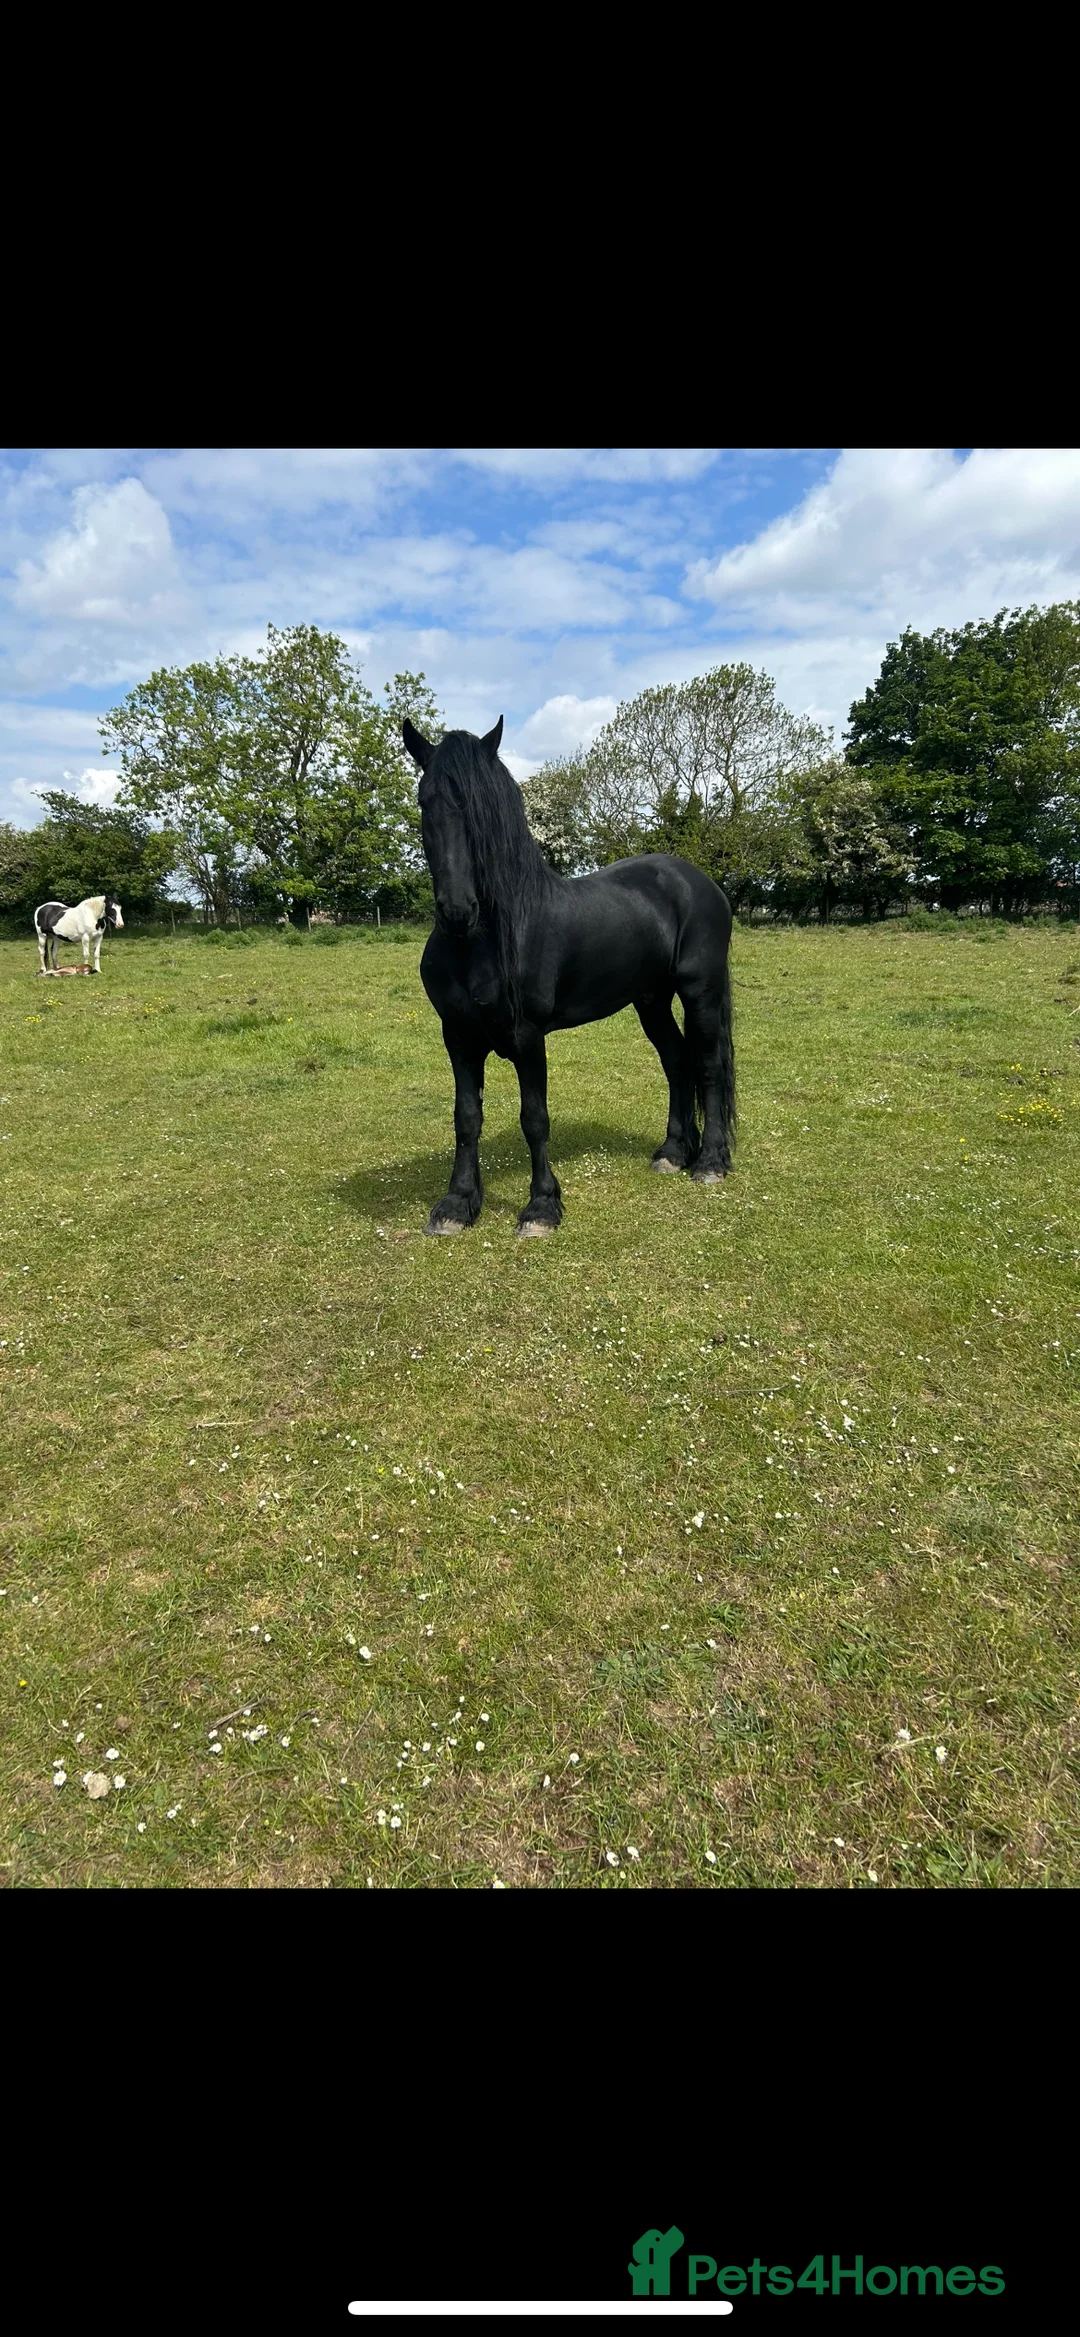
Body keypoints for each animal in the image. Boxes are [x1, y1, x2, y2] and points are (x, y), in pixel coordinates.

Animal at [402, 717, 735, 1237]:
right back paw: (673, 1153)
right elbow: (466, 1117)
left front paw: (541, 1207)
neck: (482, 943)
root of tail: (701, 883)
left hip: (701, 992)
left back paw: (711, 1163)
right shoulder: (457, 1037)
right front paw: (457, 1203)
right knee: (677, 1062)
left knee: (708, 1066)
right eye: (425, 801)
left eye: (481, 809)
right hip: (651, 1000)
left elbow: (534, 1118)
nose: (457, 911)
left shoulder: (527, 1037)